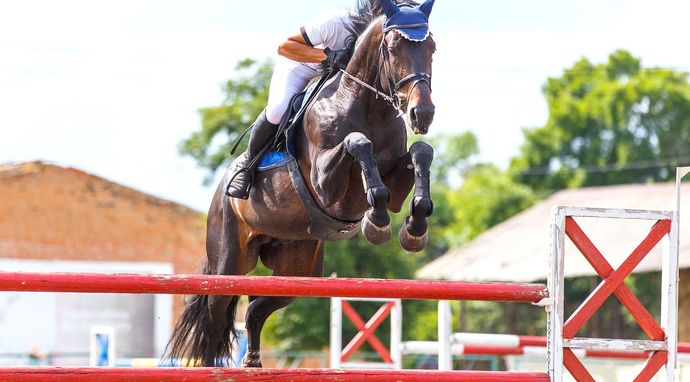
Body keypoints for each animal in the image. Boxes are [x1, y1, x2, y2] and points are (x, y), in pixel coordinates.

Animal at [163, 0, 432, 368]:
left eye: (432, 48)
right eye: (392, 49)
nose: (423, 113)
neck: (367, 108)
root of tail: (219, 196)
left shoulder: (395, 177)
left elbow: (421, 152)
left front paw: (414, 227)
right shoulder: (325, 185)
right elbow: (357, 143)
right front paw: (376, 223)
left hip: (299, 266)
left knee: (256, 309)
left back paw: (253, 363)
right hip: (228, 260)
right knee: (216, 316)